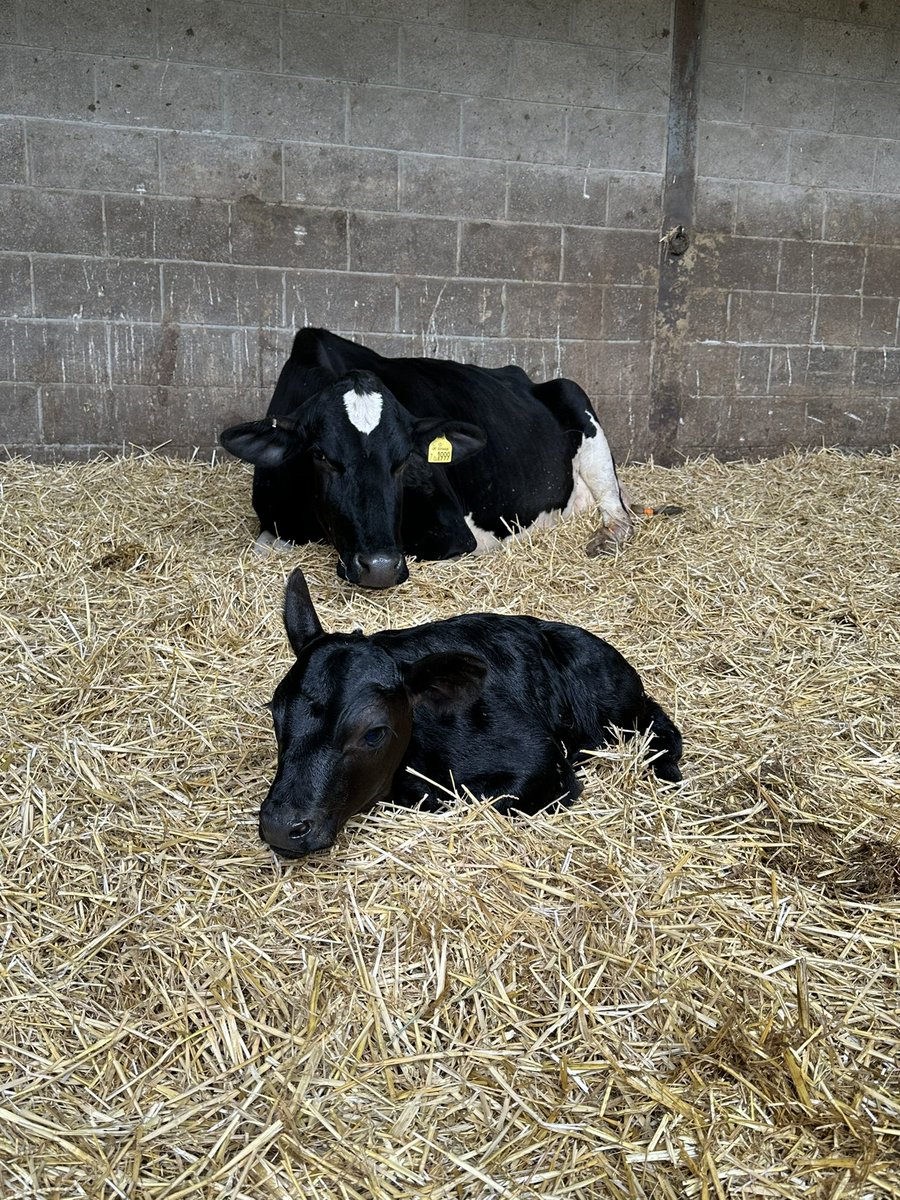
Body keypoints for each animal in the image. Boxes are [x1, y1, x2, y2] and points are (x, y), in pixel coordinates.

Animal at [220, 327, 634, 589]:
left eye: (405, 459)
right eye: (320, 454)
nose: (380, 568)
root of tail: (523, 375)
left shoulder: (453, 532)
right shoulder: (274, 520)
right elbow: (262, 548)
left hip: (579, 405)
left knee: (617, 509)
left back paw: (606, 539)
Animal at [258, 569, 683, 857]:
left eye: (374, 733)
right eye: (277, 714)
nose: (280, 827)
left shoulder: (542, 762)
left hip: (618, 704)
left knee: (660, 722)